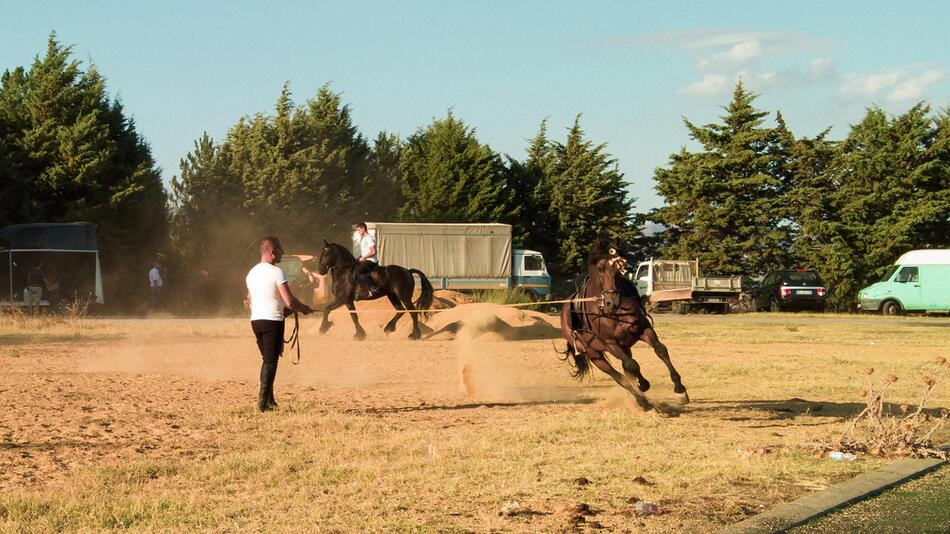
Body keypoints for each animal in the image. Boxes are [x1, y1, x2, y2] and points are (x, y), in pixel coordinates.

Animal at [556, 240, 692, 414]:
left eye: (620, 268)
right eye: (600, 268)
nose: (611, 301)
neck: (616, 311)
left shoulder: (644, 330)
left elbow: (660, 350)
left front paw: (680, 390)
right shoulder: (610, 343)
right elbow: (631, 365)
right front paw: (644, 393)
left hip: (624, 346)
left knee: (628, 368)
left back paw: (643, 388)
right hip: (595, 354)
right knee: (618, 375)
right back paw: (643, 402)